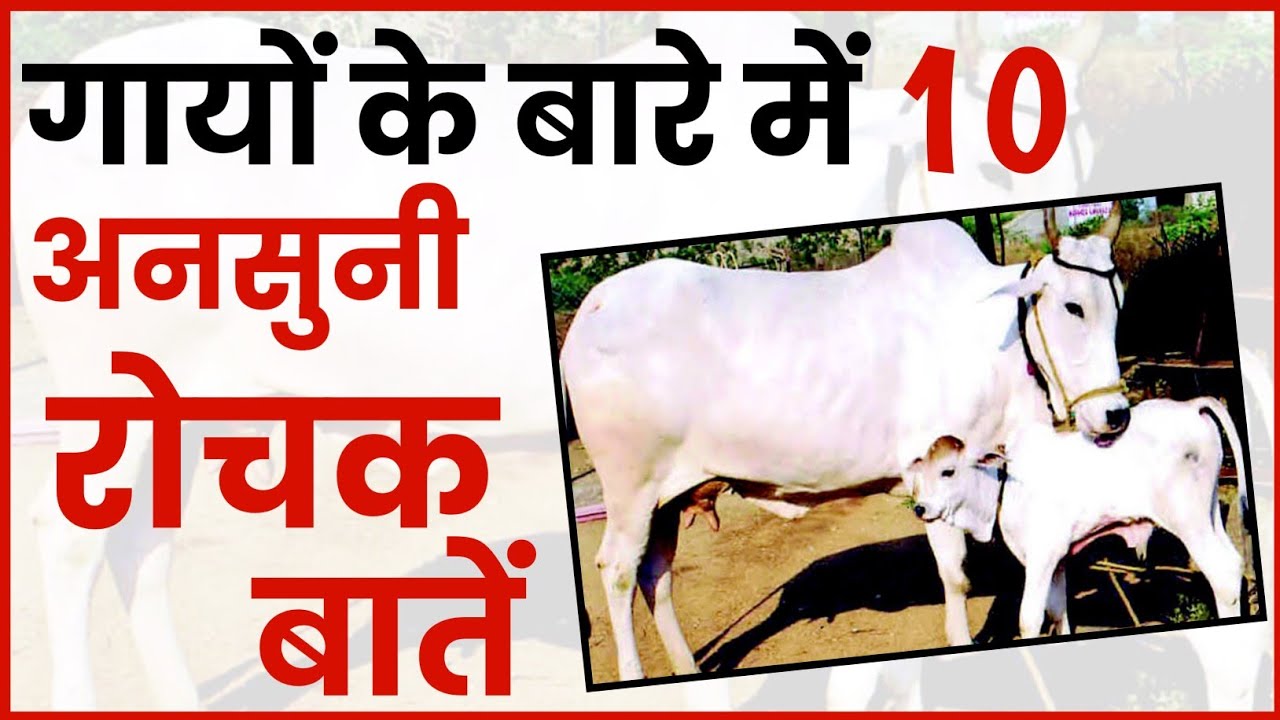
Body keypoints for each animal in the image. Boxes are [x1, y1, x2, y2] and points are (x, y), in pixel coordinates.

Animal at [560, 204, 1131, 680]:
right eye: (1073, 307)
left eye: (1118, 303)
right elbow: (956, 578)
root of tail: (594, 308)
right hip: (631, 489)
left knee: (655, 576)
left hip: (669, 499)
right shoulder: (936, 470)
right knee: (618, 572)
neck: (1001, 346)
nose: (1115, 415)